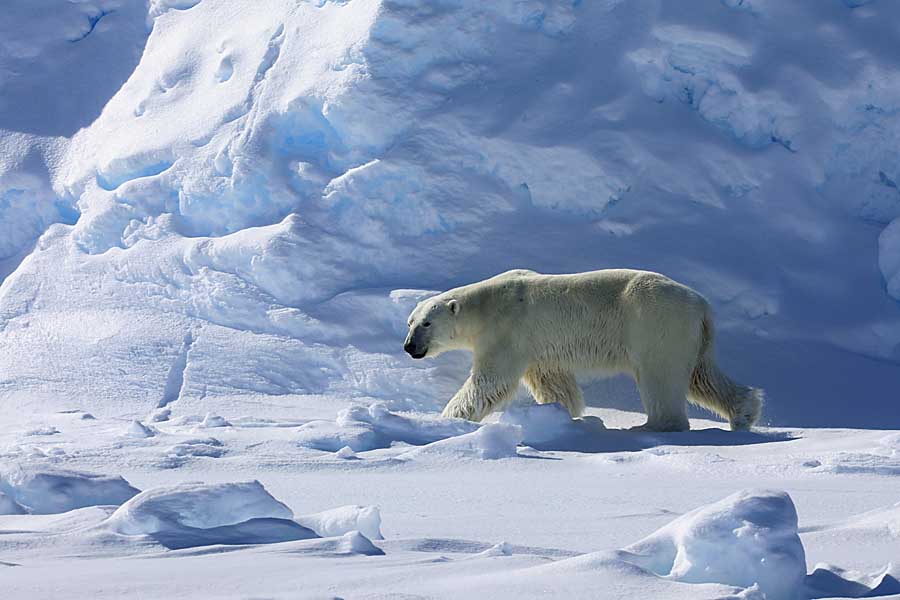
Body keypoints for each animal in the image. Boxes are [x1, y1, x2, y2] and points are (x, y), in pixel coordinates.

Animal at [404, 268, 764, 432]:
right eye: (409, 321)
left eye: (426, 324)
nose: (409, 347)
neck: (487, 304)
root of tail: (702, 306)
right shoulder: (538, 347)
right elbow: (553, 382)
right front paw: (565, 414)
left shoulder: (507, 332)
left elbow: (490, 382)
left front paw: (448, 418)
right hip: (691, 335)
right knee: (702, 376)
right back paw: (744, 412)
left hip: (656, 323)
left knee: (661, 376)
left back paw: (653, 425)